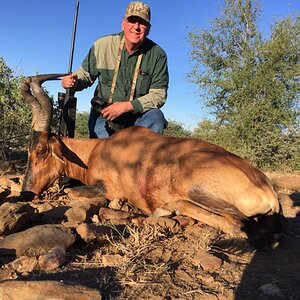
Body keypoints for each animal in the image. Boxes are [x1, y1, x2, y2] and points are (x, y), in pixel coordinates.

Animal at [20, 74, 286, 245]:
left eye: (41, 150)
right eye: (28, 150)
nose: (26, 194)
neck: (99, 149)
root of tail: (267, 188)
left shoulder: (111, 189)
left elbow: (71, 192)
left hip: (196, 190)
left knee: (240, 226)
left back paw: (164, 210)